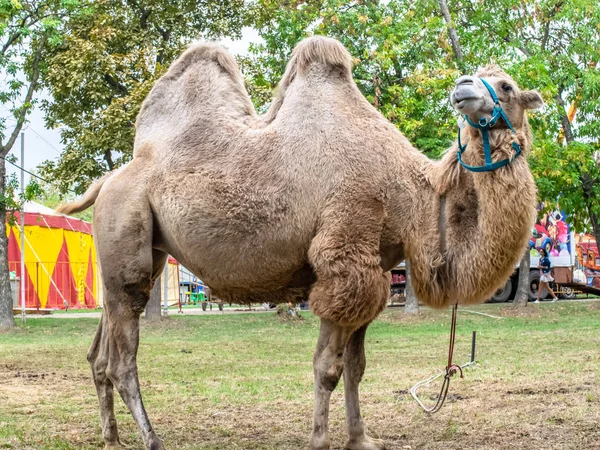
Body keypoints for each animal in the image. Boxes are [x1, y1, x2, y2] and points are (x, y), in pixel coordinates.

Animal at [58, 36, 540, 450]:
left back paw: (112, 438)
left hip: (137, 252)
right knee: (123, 357)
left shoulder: (374, 271)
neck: (411, 197)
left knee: (100, 352)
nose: (462, 87)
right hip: (126, 230)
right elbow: (328, 367)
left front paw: (361, 438)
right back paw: (152, 439)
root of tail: (108, 180)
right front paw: (321, 440)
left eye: (505, 85)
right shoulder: (344, 257)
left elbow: (357, 367)